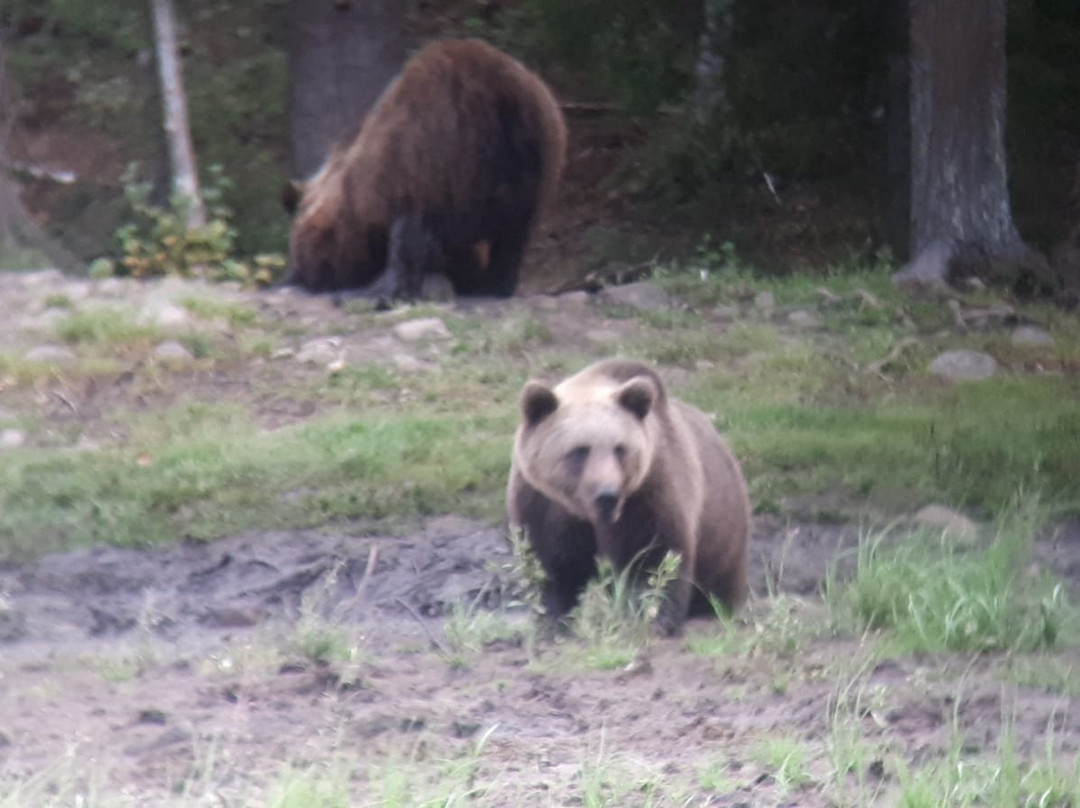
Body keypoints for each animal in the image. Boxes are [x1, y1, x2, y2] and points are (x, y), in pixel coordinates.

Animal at [505, 356, 751, 635]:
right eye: (580, 450)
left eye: (620, 448)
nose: (608, 494)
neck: (584, 512)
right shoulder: (543, 502)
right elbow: (550, 561)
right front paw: (552, 617)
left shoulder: (647, 493)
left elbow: (651, 556)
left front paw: (650, 617)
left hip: (722, 535)